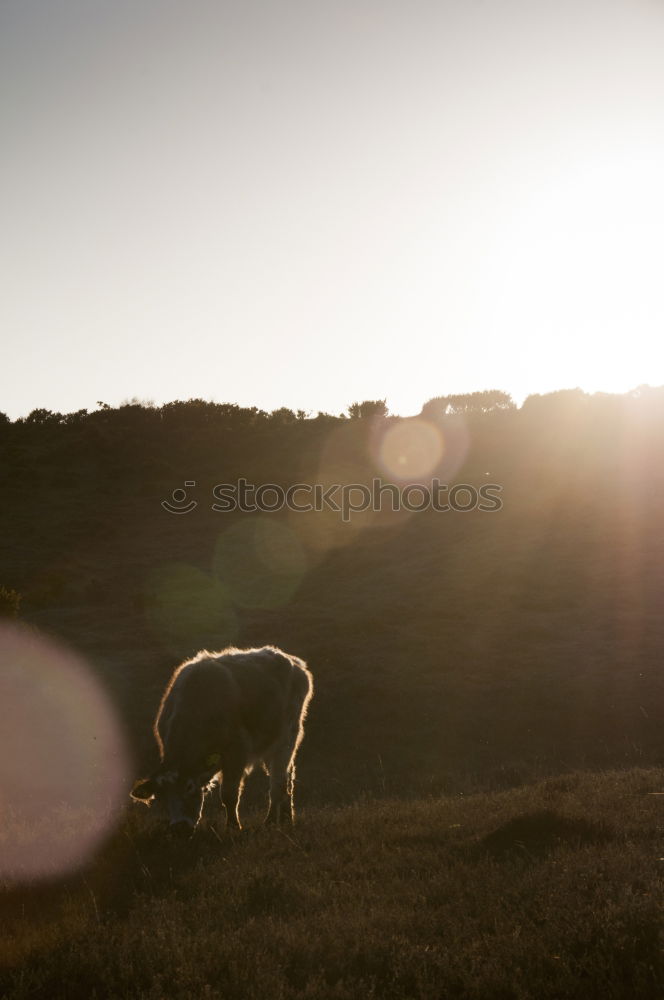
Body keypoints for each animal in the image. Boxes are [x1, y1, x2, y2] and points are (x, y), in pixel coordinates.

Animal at [134, 644, 316, 832]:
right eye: (161, 796)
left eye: (189, 787)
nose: (180, 827)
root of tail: (295, 663)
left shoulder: (236, 753)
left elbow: (229, 795)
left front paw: (233, 827)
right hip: (271, 745)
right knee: (287, 777)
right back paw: (287, 818)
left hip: (287, 737)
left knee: (278, 782)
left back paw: (271, 821)